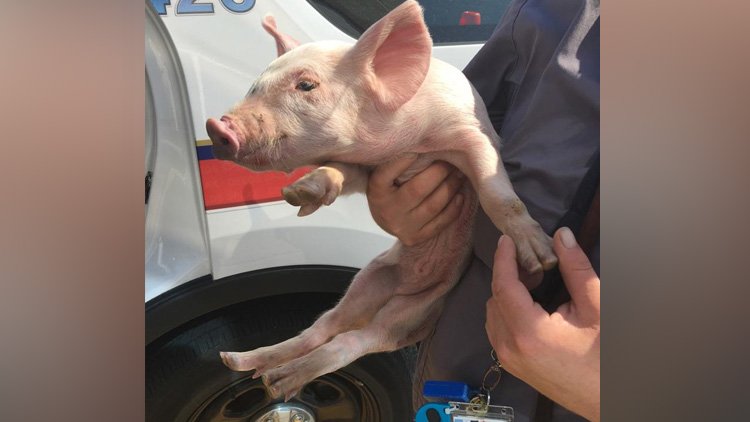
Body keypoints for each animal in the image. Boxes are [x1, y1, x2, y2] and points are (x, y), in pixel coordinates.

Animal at [206, 0, 557, 401]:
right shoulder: (367, 169)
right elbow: (338, 173)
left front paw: (542, 260)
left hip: (416, 312)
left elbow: (496, 193)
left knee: (355, 341)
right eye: (255, 85)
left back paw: (276, 380)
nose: (217, 126)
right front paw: (300, 194)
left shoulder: (472, 133)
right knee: (322, 328)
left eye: (306, 85)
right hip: (369, 280)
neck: (404, 145)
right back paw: (243, 365)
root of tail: (403, 285)